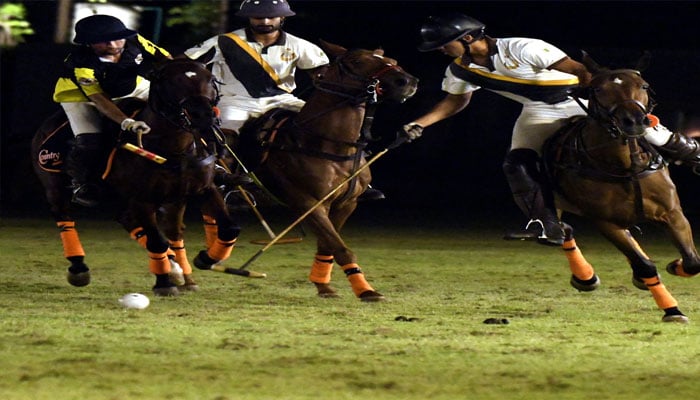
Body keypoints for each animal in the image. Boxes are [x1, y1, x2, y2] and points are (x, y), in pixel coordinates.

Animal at [32, 50, 241, 296]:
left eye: (211, 79)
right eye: (169, 81)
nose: (204, 118)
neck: (174, 150)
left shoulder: (204, 188)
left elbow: (229, 228)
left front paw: (204, 259)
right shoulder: (142, 198)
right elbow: (156, 241)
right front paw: (164, 283)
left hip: (164, 199)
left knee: (160, 228)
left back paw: (181, 272)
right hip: (54, 183)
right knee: (64, 216)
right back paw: (78, 268)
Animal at [228, 40, 416, 302]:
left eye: (392, 60)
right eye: (357, 61)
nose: (407, 81)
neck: (327, 144)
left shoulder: (346, 203)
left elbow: (329, 245)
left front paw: (324, 286)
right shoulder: (309, 203)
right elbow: (341, 248)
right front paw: (366, 291)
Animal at [544, 52, 700, 322]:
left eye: (644, 86)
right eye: (598, 88)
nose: (633, 121)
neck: (625, 166)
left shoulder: (672, 213)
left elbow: (692, 261)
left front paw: (674, 266)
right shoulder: (606, 222)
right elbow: (645, 265)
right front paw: (672, 309)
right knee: (563, 230)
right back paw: (585, 277)